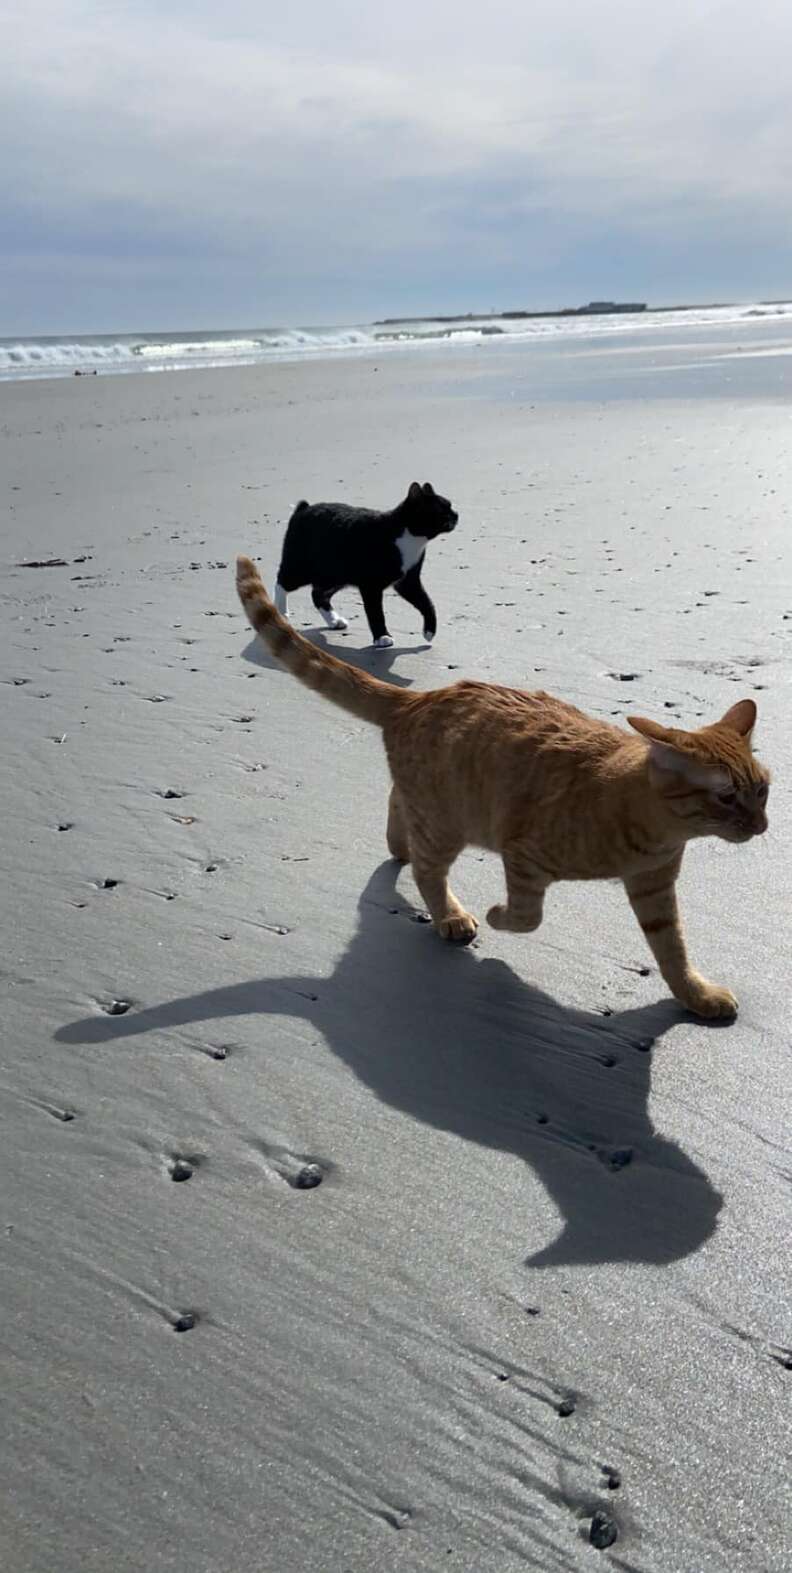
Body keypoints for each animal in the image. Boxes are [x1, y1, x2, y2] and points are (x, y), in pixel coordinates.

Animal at [237, 553, 768, 1019]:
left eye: (763, 789)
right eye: (726, 797)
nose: (761, 827)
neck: (655, 830)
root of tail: (420, 696)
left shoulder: (655, 888)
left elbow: (672, 950)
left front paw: (696, 996)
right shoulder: (524, 855)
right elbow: (528, 916)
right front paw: (497, 916)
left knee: (398, 806)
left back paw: (398, 844)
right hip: (446, 826)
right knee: (427, 871)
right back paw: (449, 915)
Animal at [275, 481, 459, 648]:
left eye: (450, 506)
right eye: (442, 510)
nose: (456, 514)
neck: (410, 537)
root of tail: (303, 508)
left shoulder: (408, 581)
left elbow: (427, 603)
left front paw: (429, 631)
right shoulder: (371, 586)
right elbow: (376, 612)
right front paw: (382, 637)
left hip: (335, 575)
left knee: (318, 594)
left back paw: (334, 620)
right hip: (301, 568)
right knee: (282, 582)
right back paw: (281, 613)